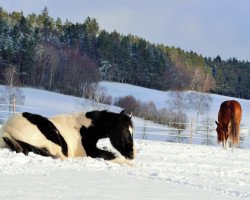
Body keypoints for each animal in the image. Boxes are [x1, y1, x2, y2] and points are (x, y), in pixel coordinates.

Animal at [0, 110, 135, 165]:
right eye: (124, 131)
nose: (132, 155)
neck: (84, 129)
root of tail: (6, 130)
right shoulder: (91, 152)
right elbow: (112, 156)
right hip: (52, 142)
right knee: (60, 156)